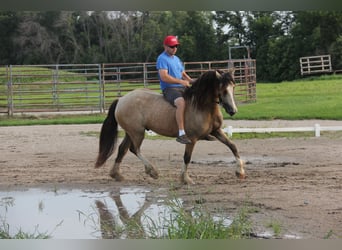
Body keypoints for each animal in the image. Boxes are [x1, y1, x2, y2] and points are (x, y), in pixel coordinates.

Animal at [95, 69, 246, 185]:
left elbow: (233, 146)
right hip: (137, 132)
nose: (233, 111)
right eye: (223, 90)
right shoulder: (192, 139)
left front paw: (240, 172)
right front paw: (185, 179)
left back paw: (116, 174)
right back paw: (152, 171)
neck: (203, 107)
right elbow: (187, 157)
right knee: (134, 149)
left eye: (233, 87)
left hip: (130, 132)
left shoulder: (217, 131)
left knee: (122, 149)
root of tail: (121, 99)